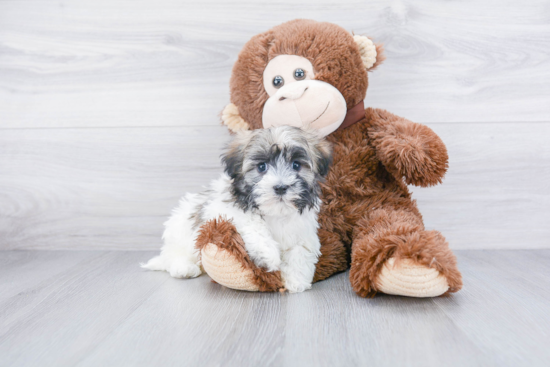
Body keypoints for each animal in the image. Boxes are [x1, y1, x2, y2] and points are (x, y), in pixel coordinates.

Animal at [142, 126, 332, 294]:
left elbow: (301, 251)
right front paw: (268, 255)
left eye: (296, 165)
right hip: (181, 231)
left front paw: (296, 280)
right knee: (175, 254)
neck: (275, 212)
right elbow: (251, 223)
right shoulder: (222, 210)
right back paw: (184, 268)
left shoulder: (304, 231)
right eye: (262, 167)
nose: (280, 187)